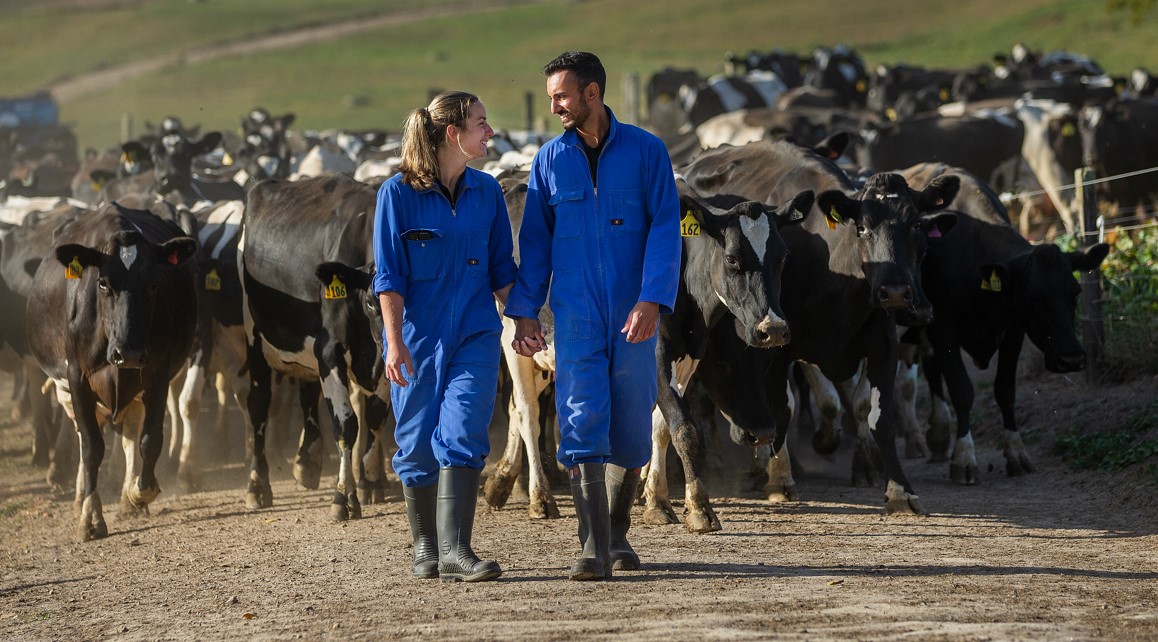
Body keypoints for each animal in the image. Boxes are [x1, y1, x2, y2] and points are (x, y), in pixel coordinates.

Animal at [26, 201, 196, 540]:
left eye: (153, 284)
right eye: (103, 283)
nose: (128, 351)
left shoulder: (157, 374)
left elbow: (149, 440)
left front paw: (138, 492)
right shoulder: (76, 378)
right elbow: (92, 446)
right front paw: (90, 517)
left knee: (130, 432)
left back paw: (129, 500)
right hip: (66, 388)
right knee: (83, 435)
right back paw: (80, 497)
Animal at [643, 176, 815, 530]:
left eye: (783, 257)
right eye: (732, 259)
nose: (773, 328)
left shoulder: (687, 356)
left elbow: (662, 427)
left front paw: (656, 500)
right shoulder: (655, 353)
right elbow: (684, 428)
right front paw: (699, 506)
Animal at [676, 137, 958, 512]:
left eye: (915, 226)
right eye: (863, 228)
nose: (896, 291)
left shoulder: (882, 341)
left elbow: (875, 413)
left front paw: (898, 489)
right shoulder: (778, 341)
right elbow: (786, 408)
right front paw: (781, 478)